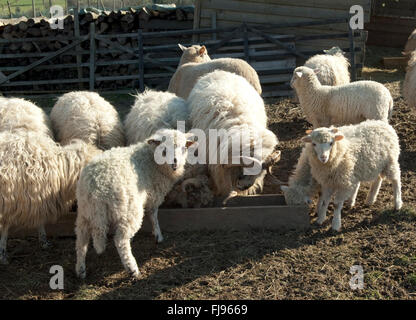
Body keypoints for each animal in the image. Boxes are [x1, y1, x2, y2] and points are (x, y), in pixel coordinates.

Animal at [0, 129, 100, 264]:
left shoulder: (36, 198)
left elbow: (39, 221)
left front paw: (44, 242)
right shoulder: (10, 201)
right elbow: (5, 229)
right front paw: (3, 254)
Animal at [75, 129, 197, 278]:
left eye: (184, 148)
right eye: (164, 149)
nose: (175, 163)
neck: (151, 159)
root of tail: (96, 186)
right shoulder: (154, 195)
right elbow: (153, 215)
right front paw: (158, 235)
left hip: (85, 211)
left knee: (81, 240)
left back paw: (81, 270)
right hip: (128, 210)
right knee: (120, 240)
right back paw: (132, 268)